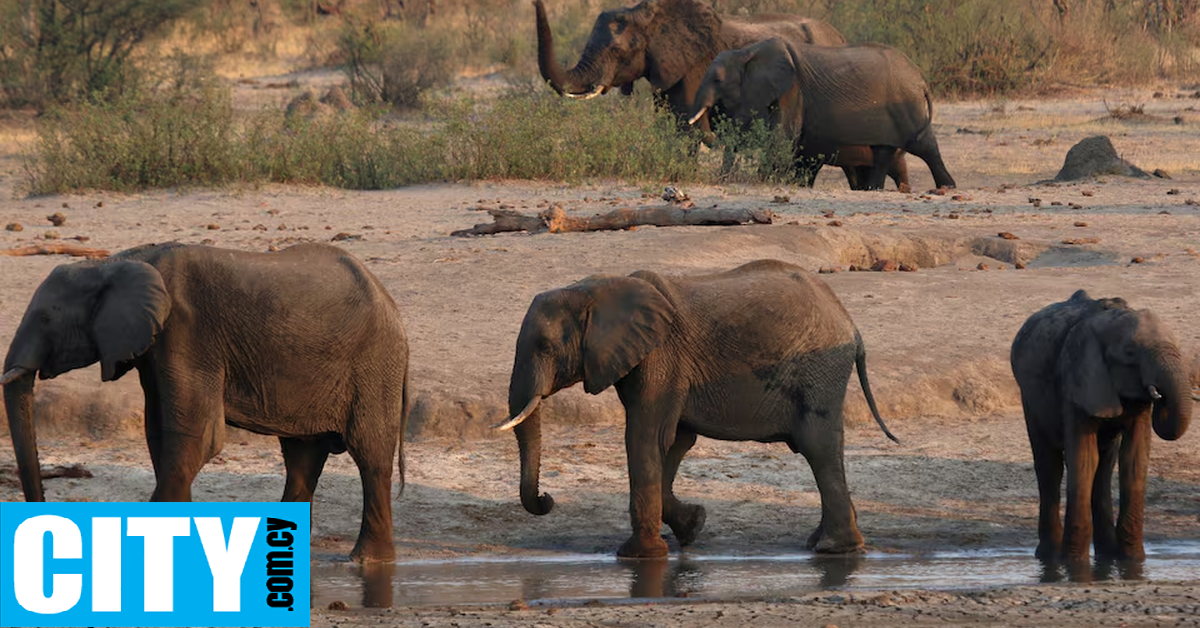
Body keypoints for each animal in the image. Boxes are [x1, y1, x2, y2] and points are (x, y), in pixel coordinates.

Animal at [1, 242, 412, 564]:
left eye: (46, 318)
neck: (117, 262)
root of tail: (392, 304)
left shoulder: (186, 333)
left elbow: (197, 439)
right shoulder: (155, 346)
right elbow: (160, 436)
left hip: (374, 365)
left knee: (370, 457)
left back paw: (367, 561)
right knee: (302, 459)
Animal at [492, 260, 897, 559]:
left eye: (545, 346)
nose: (547, 499)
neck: (597, 288)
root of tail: (851, 324)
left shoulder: (661, 357)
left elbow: (646, 438)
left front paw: (638, 556)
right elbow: (674, 442)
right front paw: (694, 525)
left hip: (819, 371)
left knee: (818, 446)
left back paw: (833, 549)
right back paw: (824, 543)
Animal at [686, 38, 955, 190]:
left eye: (718, 80)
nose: (722, 179)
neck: (747, 52)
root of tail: (921, 79)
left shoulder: (792, 91)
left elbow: (783, 137)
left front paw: (764, 181)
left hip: (906, 106)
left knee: (923, 144)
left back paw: (947, 186)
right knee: (883, 151)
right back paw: (873, 189)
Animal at [1008, 292, 1195, 561]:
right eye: (1130, 353)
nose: (1162, 396)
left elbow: (1134, 458)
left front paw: (1133, 560)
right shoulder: (1076, 380)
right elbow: (1084, 458)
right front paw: (1074, 563)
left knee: (1104, 466)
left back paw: (1107, 555)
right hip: (1030, 399)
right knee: (1050, 466)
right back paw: (1050, 556)